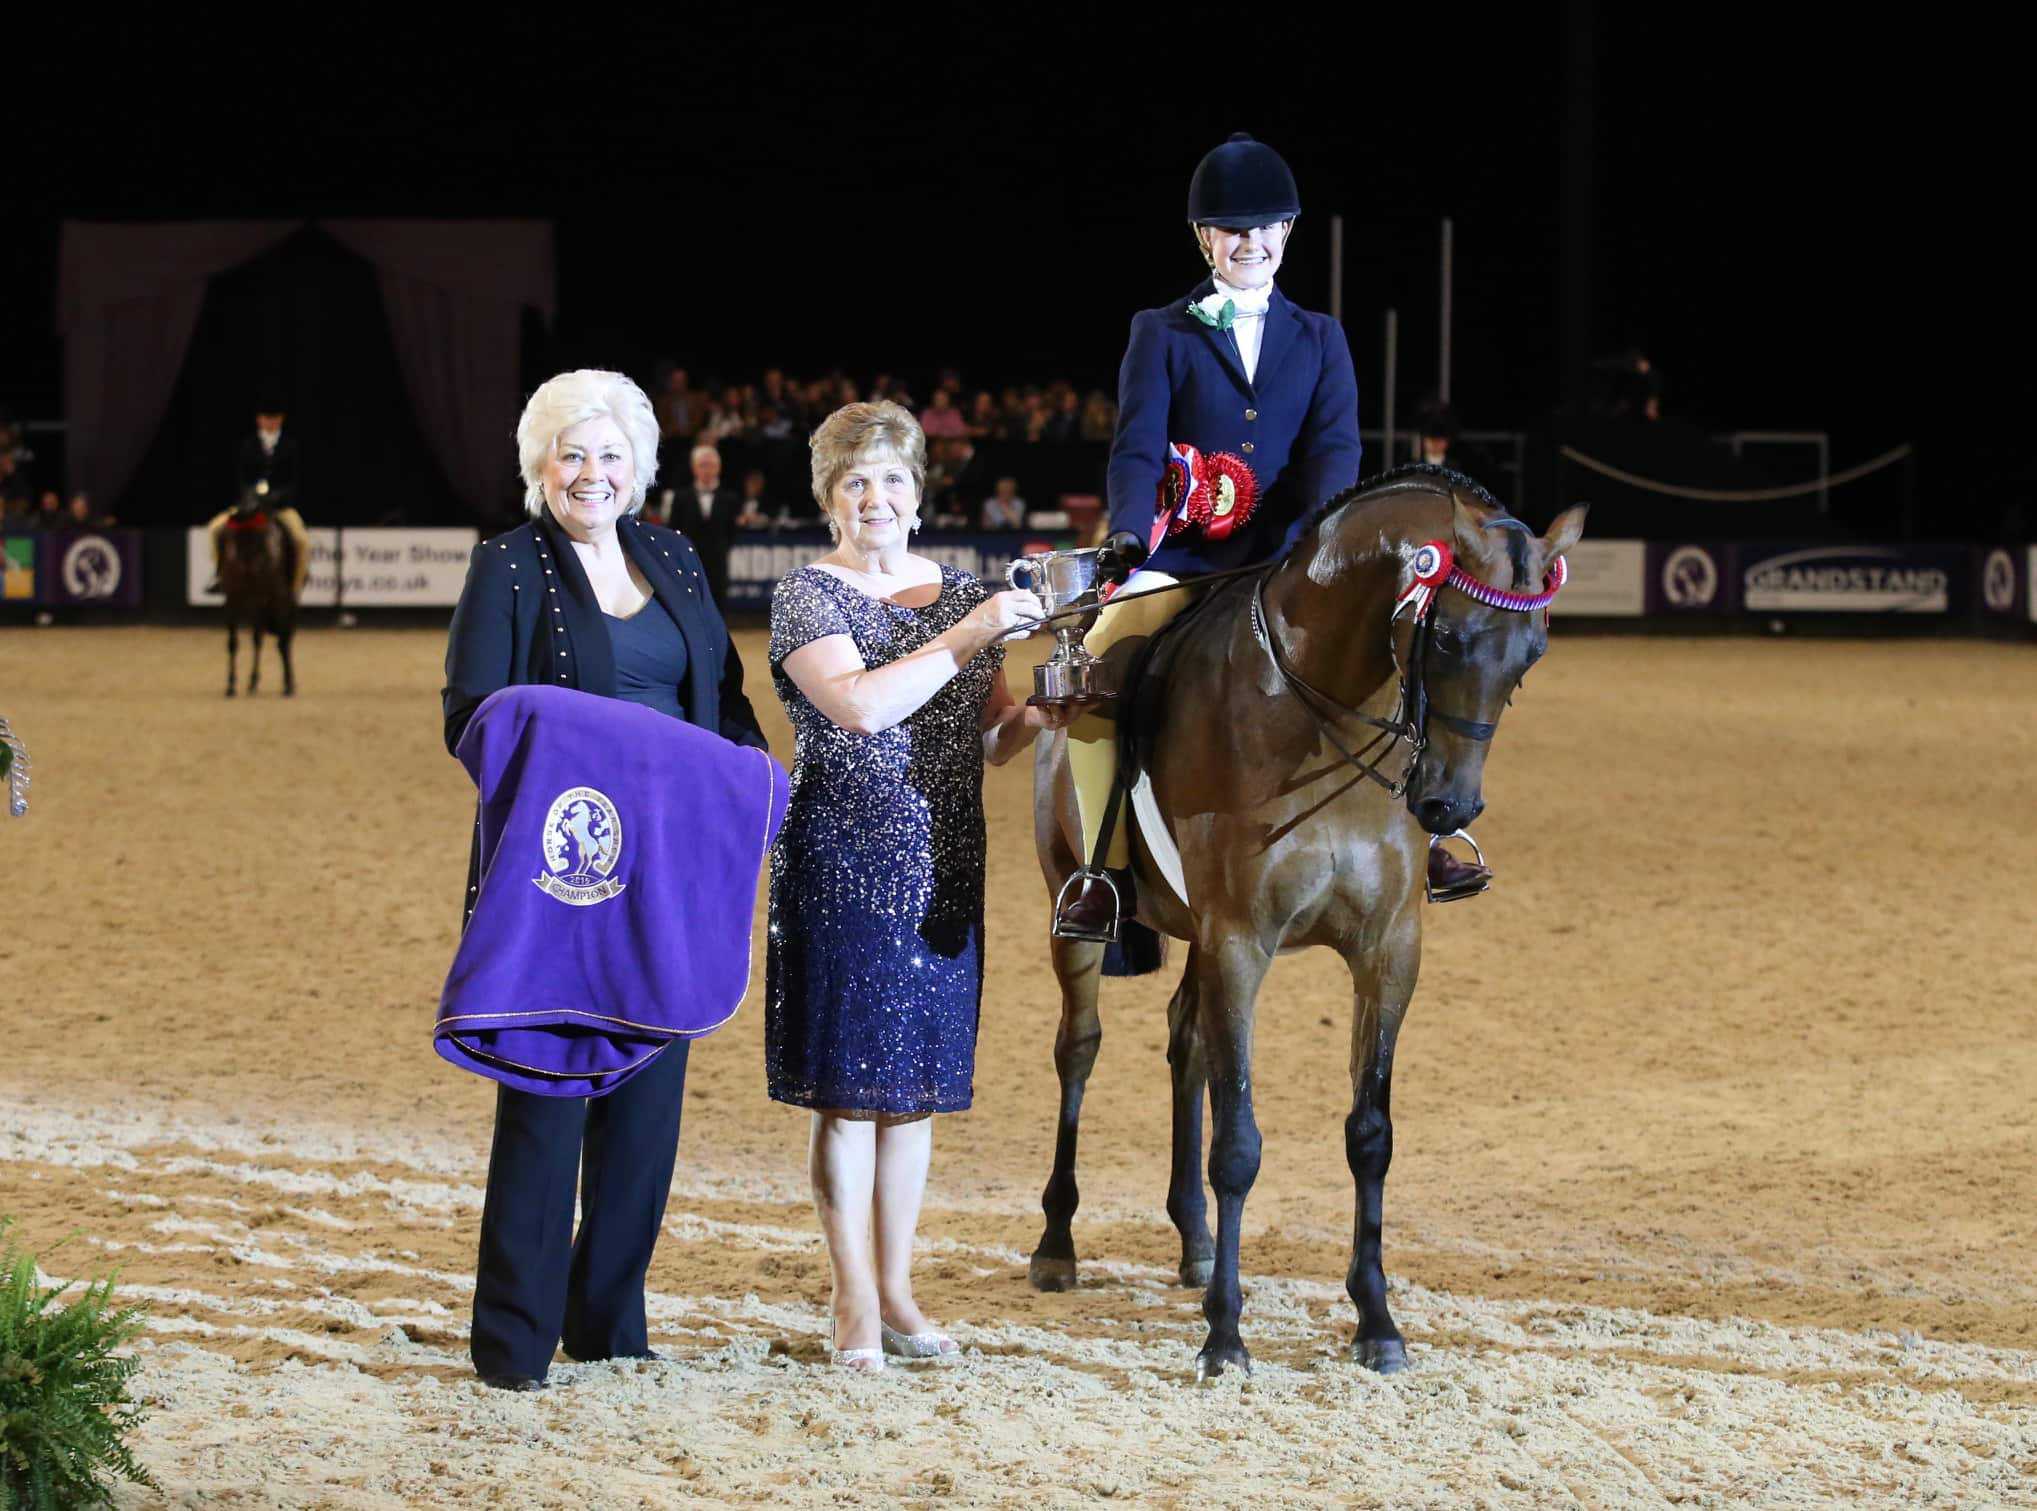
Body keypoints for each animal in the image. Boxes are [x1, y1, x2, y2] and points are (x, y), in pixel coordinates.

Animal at [218, 488, 297, 700]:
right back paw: (253, 682)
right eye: (240, 497)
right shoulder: (232, 597)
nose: (236, 514)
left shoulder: (271, 597)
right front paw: (231, 685)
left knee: (281, 637)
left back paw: (285, 683)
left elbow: (278, 639)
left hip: (275, 599)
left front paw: (288, 685)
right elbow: (233, 642)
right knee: (260, 637)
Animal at [1026, 470, 1580, 1384]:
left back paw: (1195, 1243)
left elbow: (1369, 1133)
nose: (1447, 805)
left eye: (1531, 654)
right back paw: (1056, 1243)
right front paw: (1225, 1335)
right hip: (1078, 916)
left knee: (1187, 1044)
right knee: (1078, 1051)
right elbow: (1238, 1144)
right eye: (1449, 637)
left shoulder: (1388, 951)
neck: (1326, 716)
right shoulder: (1240, 941)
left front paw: (1376, 1320)